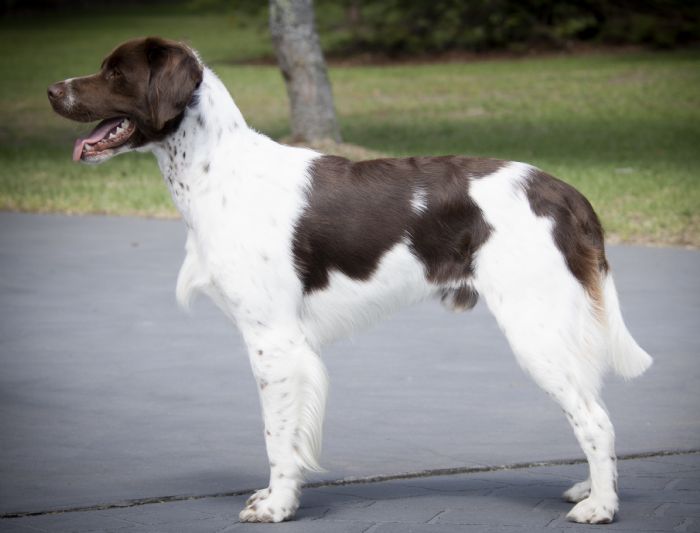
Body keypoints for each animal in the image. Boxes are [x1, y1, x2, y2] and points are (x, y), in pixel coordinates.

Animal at [48, 37, 652, 524]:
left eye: (115, 73)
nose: (52, 90)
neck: (217, 171)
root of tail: (561, 190)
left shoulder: (273, 340)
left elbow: (277, 436)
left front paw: (276, 506)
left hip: (535, 325)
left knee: (595, 419)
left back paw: (600, 507)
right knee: (592, 405)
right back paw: (589, 489)